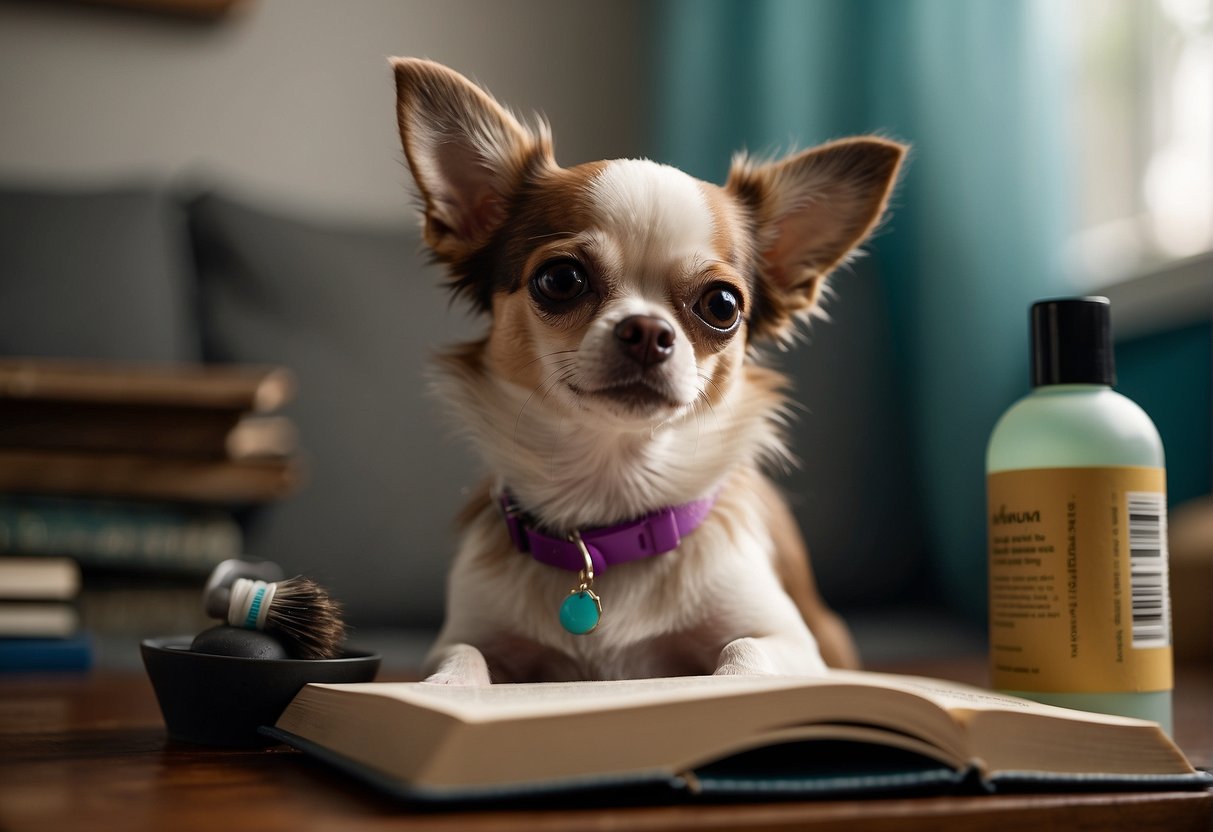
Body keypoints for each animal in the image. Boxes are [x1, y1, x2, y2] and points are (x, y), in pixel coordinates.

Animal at [393, 57, 907, 684]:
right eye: (559, 279)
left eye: (723, 306)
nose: (646, 331)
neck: (609, 515)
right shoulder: (466, 634)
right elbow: (461, 660)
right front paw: (448, 690)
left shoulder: (793, 643)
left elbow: (745, 653)